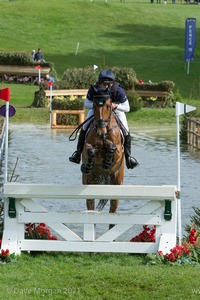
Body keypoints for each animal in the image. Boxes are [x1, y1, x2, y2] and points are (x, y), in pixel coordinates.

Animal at [80, 85, 124, 214]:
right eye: (94, 105)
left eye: (108, 105)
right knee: (90, 203)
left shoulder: (119, 152)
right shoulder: (86, 148)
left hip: (117, 183)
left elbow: (113, 148)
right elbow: (89, 151)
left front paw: (107, 160)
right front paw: (89, 164)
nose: (101, 133)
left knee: (113, 208)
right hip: (89, 182)